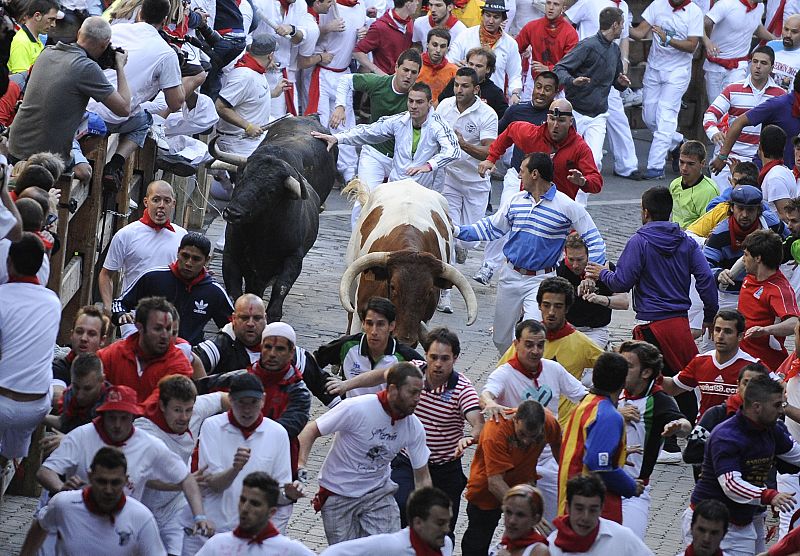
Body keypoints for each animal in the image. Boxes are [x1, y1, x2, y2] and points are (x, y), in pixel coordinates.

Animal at [211, 115, 336, 322]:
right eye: (241, 177)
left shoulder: (293, 259)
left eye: (270, 191)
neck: (260, 233)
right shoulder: (231, 255)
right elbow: (235, 293)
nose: (233, 213)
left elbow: (279, 291)